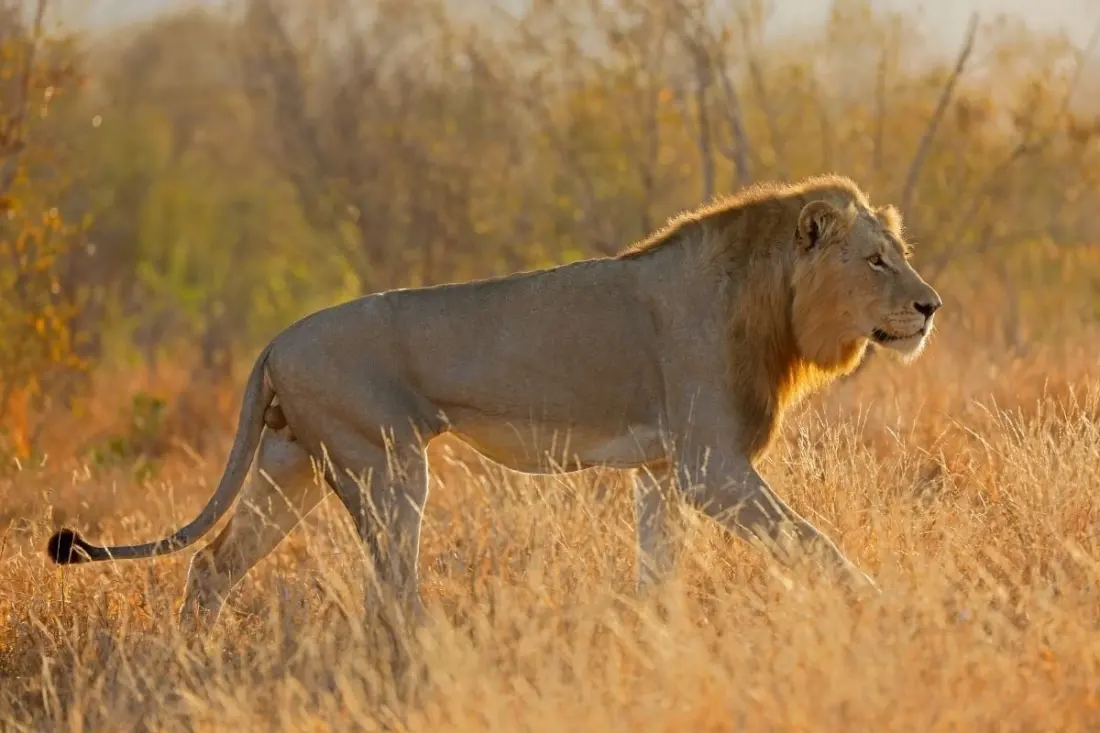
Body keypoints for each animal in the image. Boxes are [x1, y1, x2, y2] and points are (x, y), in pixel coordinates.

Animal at [46, 174, 942, 635]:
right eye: (876, 261)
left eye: (899, 255)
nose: (931, 306)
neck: (771, 303)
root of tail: (272, 342)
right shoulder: (709, 467)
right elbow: (811, 541)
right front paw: (877, 605)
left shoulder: (662, 469)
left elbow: (661, 569)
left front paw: (657, 637)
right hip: (385, 465)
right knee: (388, 587)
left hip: (292, 463)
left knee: (213, 562)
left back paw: (187, 662)